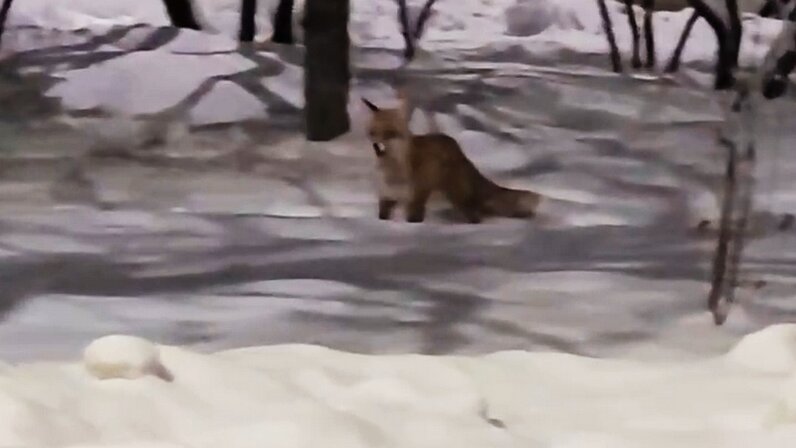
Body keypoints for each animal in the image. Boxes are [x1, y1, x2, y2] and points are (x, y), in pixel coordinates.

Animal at [360, 91, 540, 224]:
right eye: (373, 132)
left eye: (390, 133)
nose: (376, 143)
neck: (393, 173)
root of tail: (456, 146)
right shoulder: (386, 197)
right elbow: (382, 217)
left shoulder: (415, 199)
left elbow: (414, 219)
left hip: (458, 199)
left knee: (476, 217)